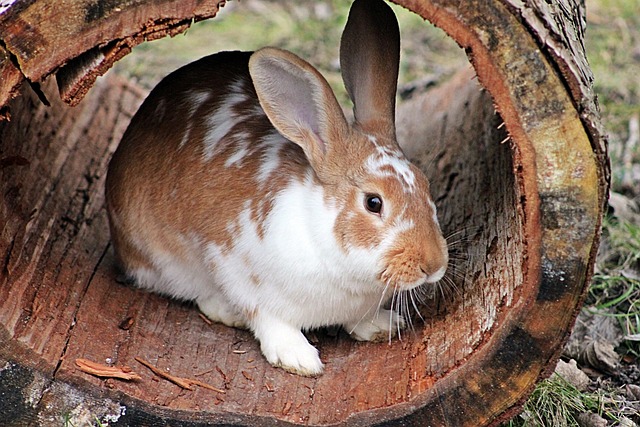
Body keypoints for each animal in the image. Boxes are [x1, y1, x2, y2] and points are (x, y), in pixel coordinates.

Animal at [105, 0, 448, 376]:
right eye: (373, 202)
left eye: (425, 183)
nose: (433, 264)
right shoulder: (241, 275)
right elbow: (269, 320)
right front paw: (299, 359)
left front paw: (381, 325)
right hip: (163, 259)